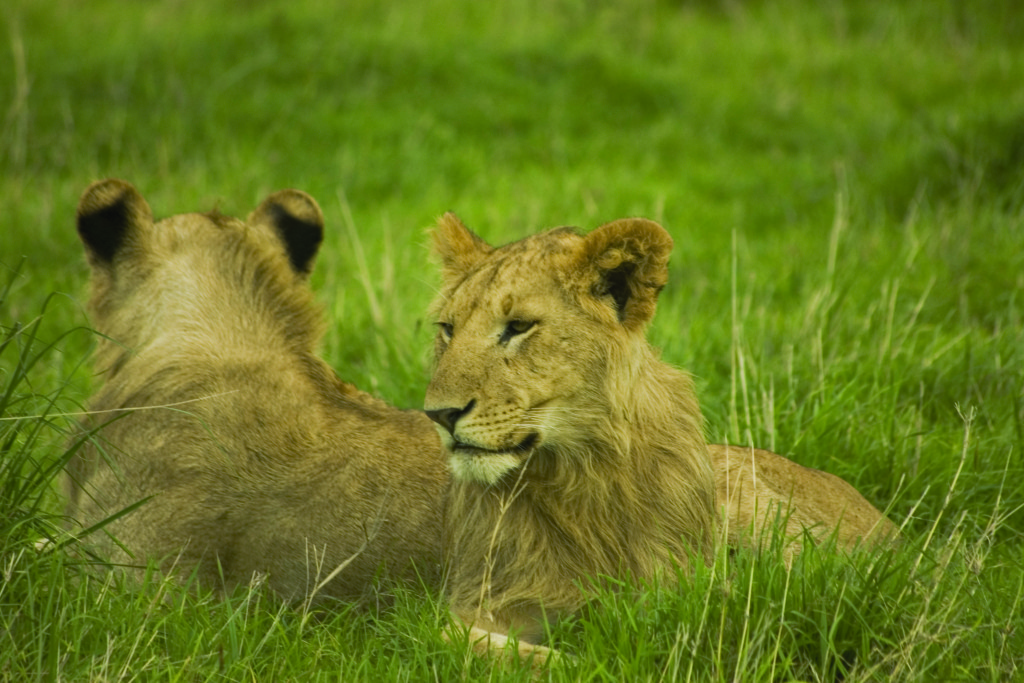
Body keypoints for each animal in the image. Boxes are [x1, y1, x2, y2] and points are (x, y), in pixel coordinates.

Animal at [423, 214, 897, 663]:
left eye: (519, 326)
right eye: (448, 328)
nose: (439, 414)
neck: (577, 477)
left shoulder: (683, 585)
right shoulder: (479, 602)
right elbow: (482, 646)